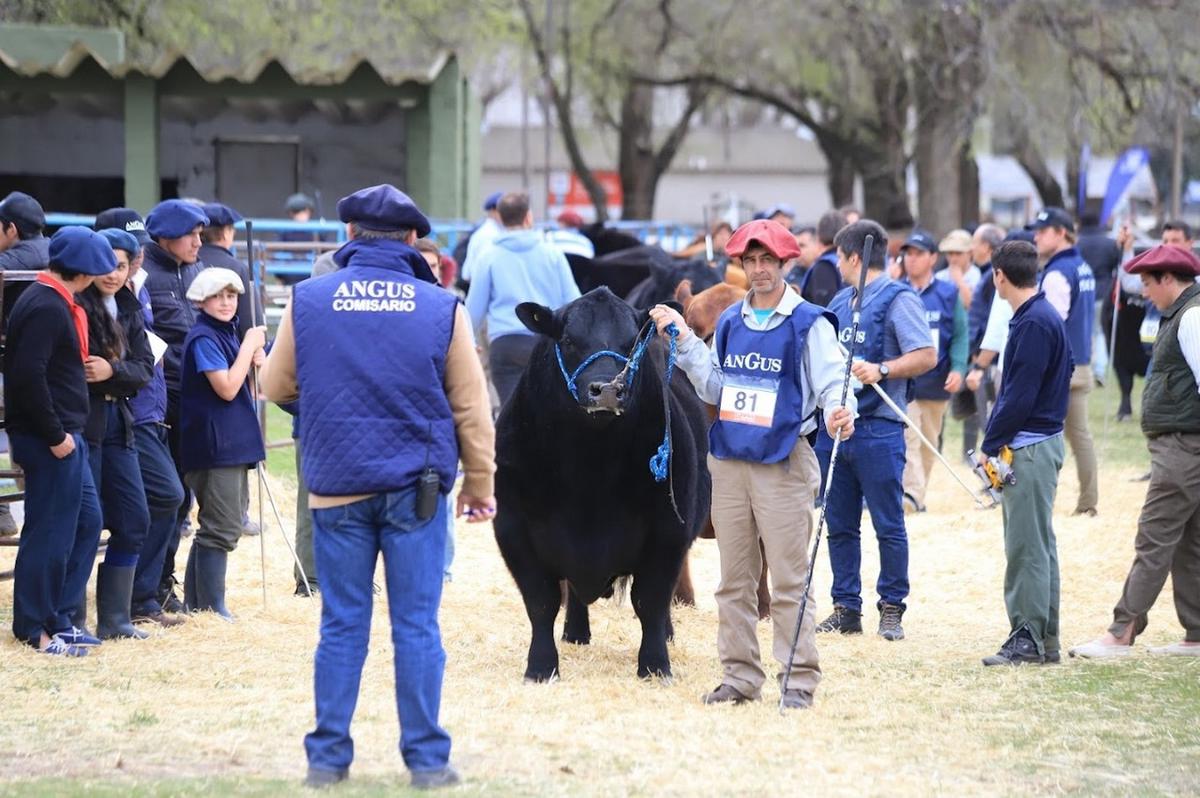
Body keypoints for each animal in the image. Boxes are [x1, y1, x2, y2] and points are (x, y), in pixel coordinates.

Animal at [492, 288, 705, 676]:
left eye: (633, 342)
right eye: (568, 340)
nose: (607, 389)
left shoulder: (668, 532)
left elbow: (651, 601)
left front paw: (655, 666)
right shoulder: (513, 529)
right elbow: (541, 601)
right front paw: (541, 667)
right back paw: (575, 633)